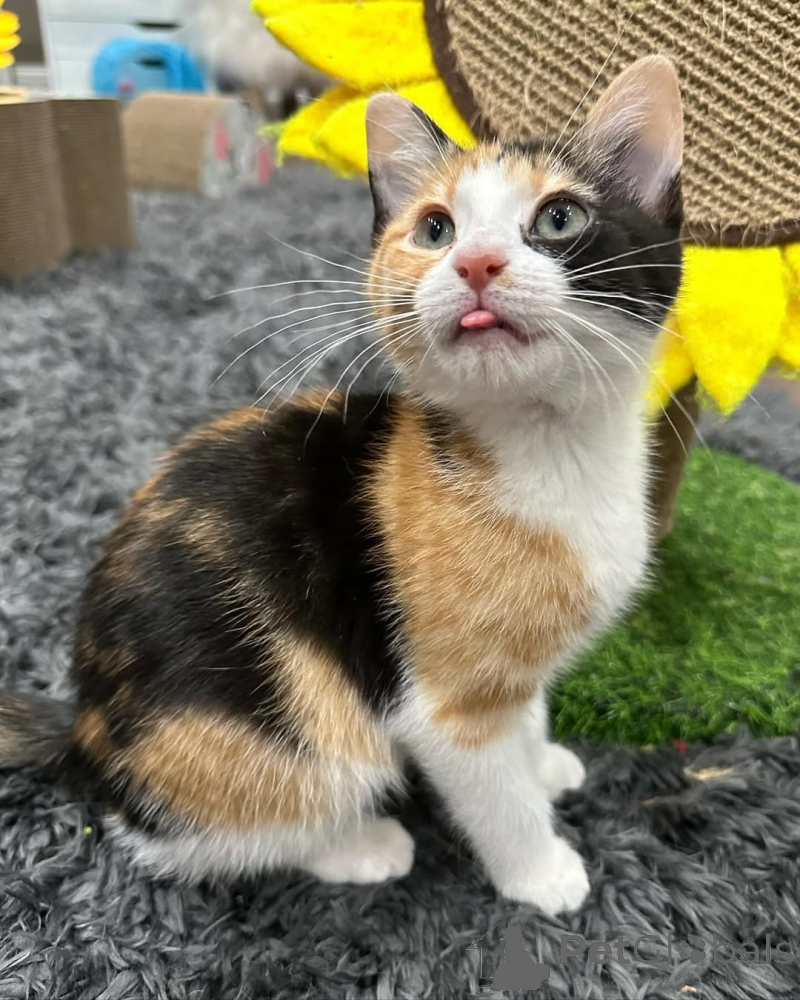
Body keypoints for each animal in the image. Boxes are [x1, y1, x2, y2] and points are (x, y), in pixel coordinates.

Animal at [0, 56, 683, 916]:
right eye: (436, 229)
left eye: (559, 219)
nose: (476, 262)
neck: (549, 450)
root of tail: (84, 727)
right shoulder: (445, 705)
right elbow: (494, 792)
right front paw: (541, 871)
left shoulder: (514, 666)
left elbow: (525, 713)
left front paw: (544, 760)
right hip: (274, 736)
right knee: (203, 836)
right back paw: (361, 844)